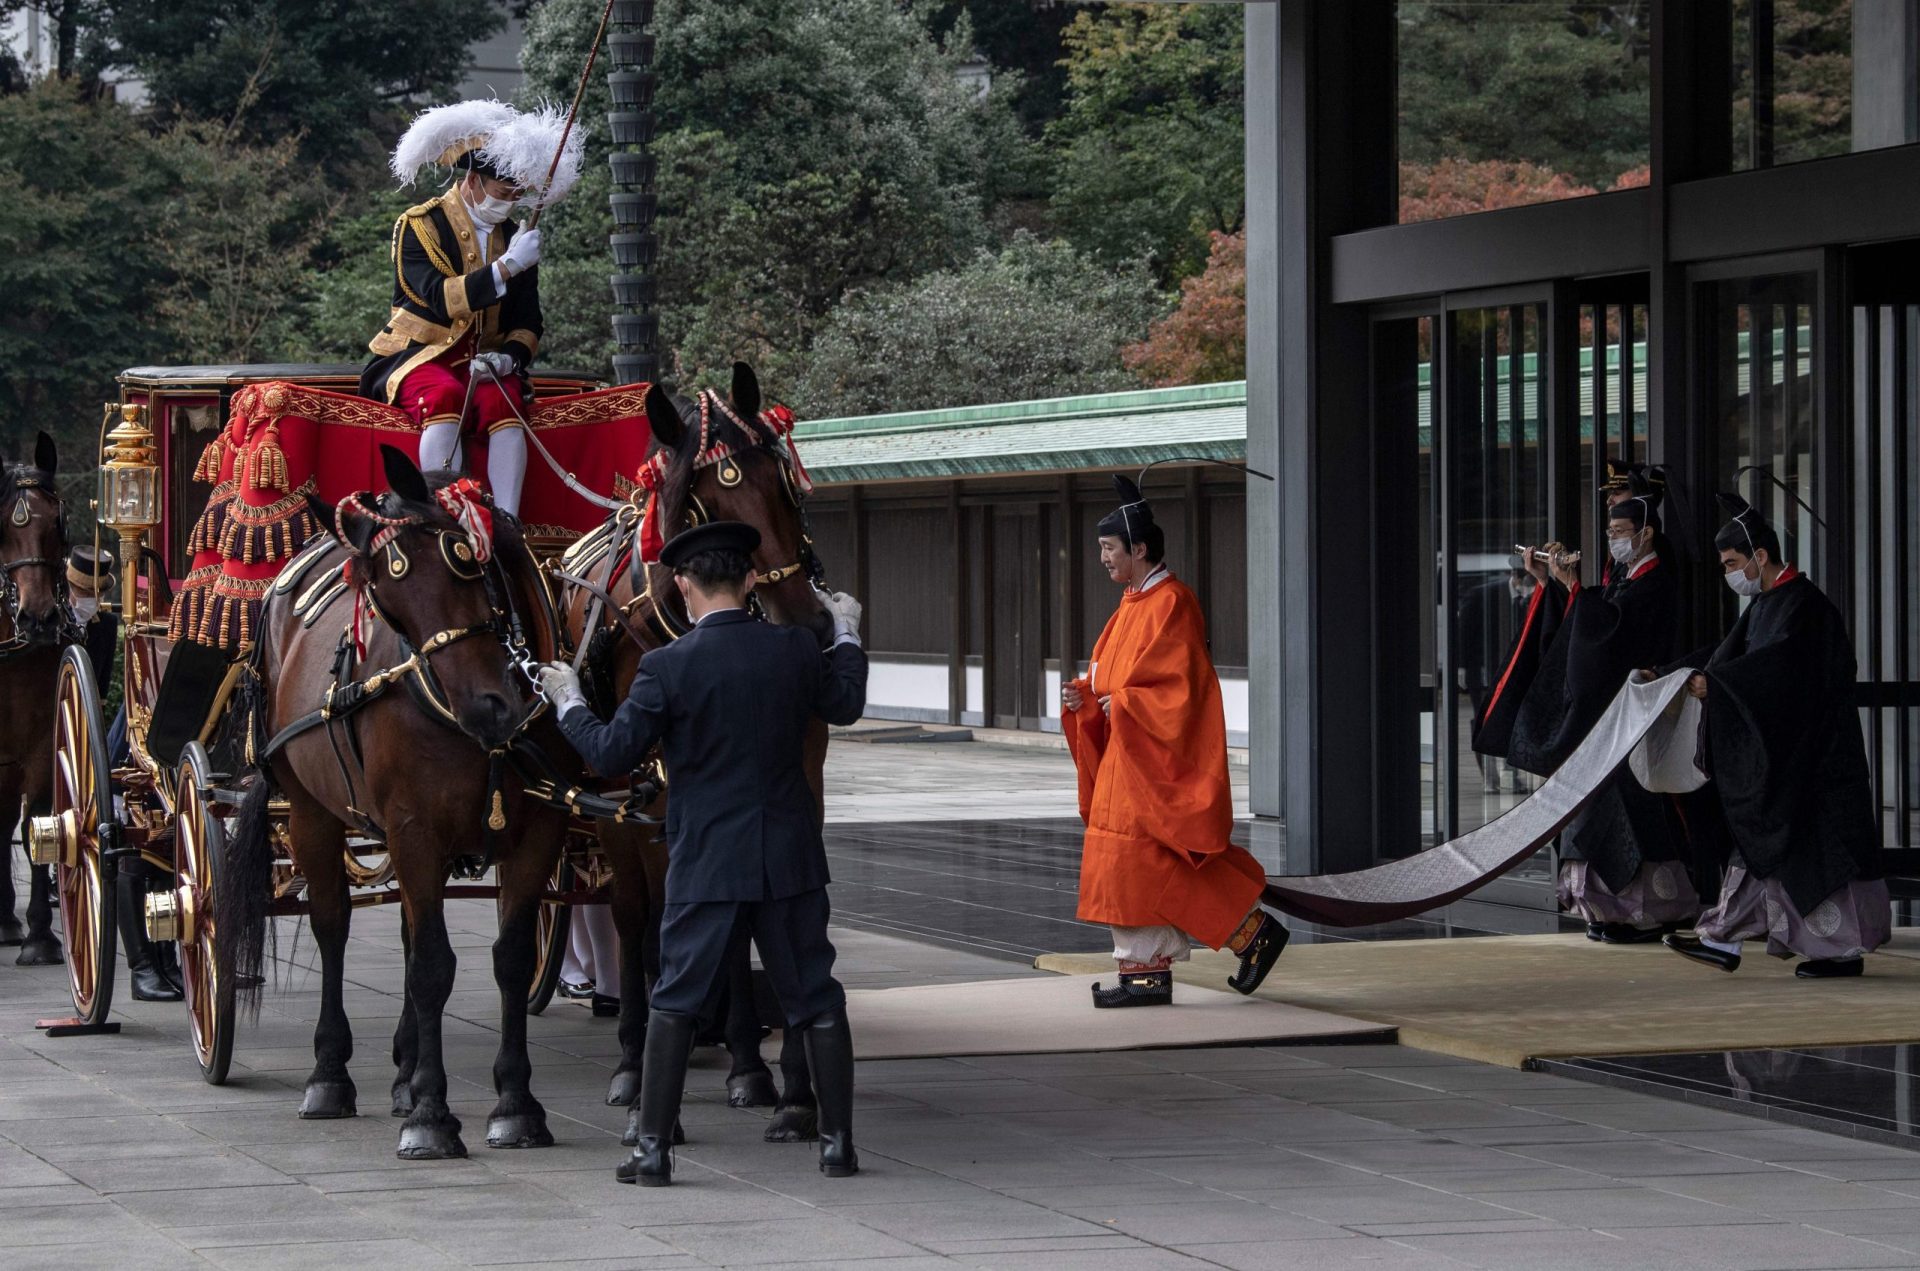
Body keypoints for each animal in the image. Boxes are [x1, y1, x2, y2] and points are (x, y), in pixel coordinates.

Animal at [218, 447, 572, 1167]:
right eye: (385, 600)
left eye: (463, 555)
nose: (490, 708)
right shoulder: (414, 828)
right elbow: (433, 965)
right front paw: (434, 1116)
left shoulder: (537, 831)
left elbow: (508, 958)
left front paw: (515, 1103)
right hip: (311, 811)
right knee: (333, 926)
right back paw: (331, 1075)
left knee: (408, 931)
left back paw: (407, 1070)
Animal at [552, 366, 829, 1144]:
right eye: (710, 502)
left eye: (783, 481)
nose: (808, 622)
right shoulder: (624, 795)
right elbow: (637, 913)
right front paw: (636, 1066)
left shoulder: (789, 779)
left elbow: (745, 909)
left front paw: (757, 1069)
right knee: (637, 912)